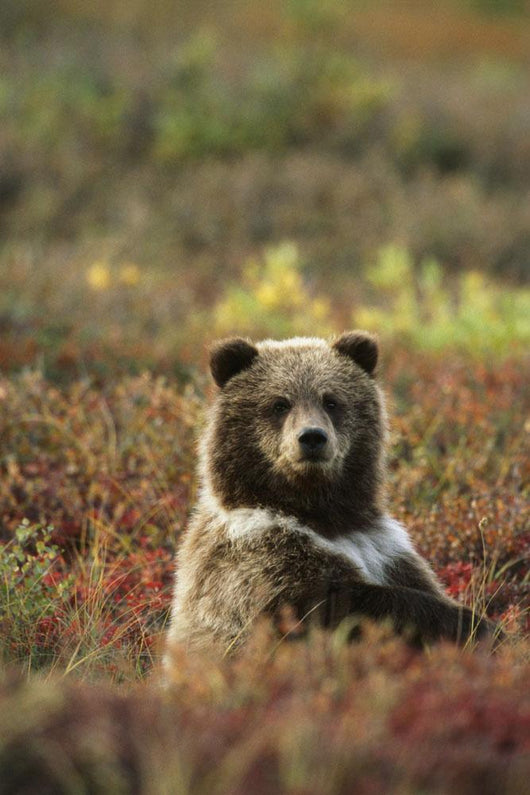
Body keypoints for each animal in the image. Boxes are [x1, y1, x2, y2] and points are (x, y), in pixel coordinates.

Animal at [165, 331, 496, 658]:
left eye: (332, 401)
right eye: (279, 404)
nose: (312, 437)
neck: (322, 514)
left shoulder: (384, 549)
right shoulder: (255, 558)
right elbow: (328, 605)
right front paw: (474, 626)